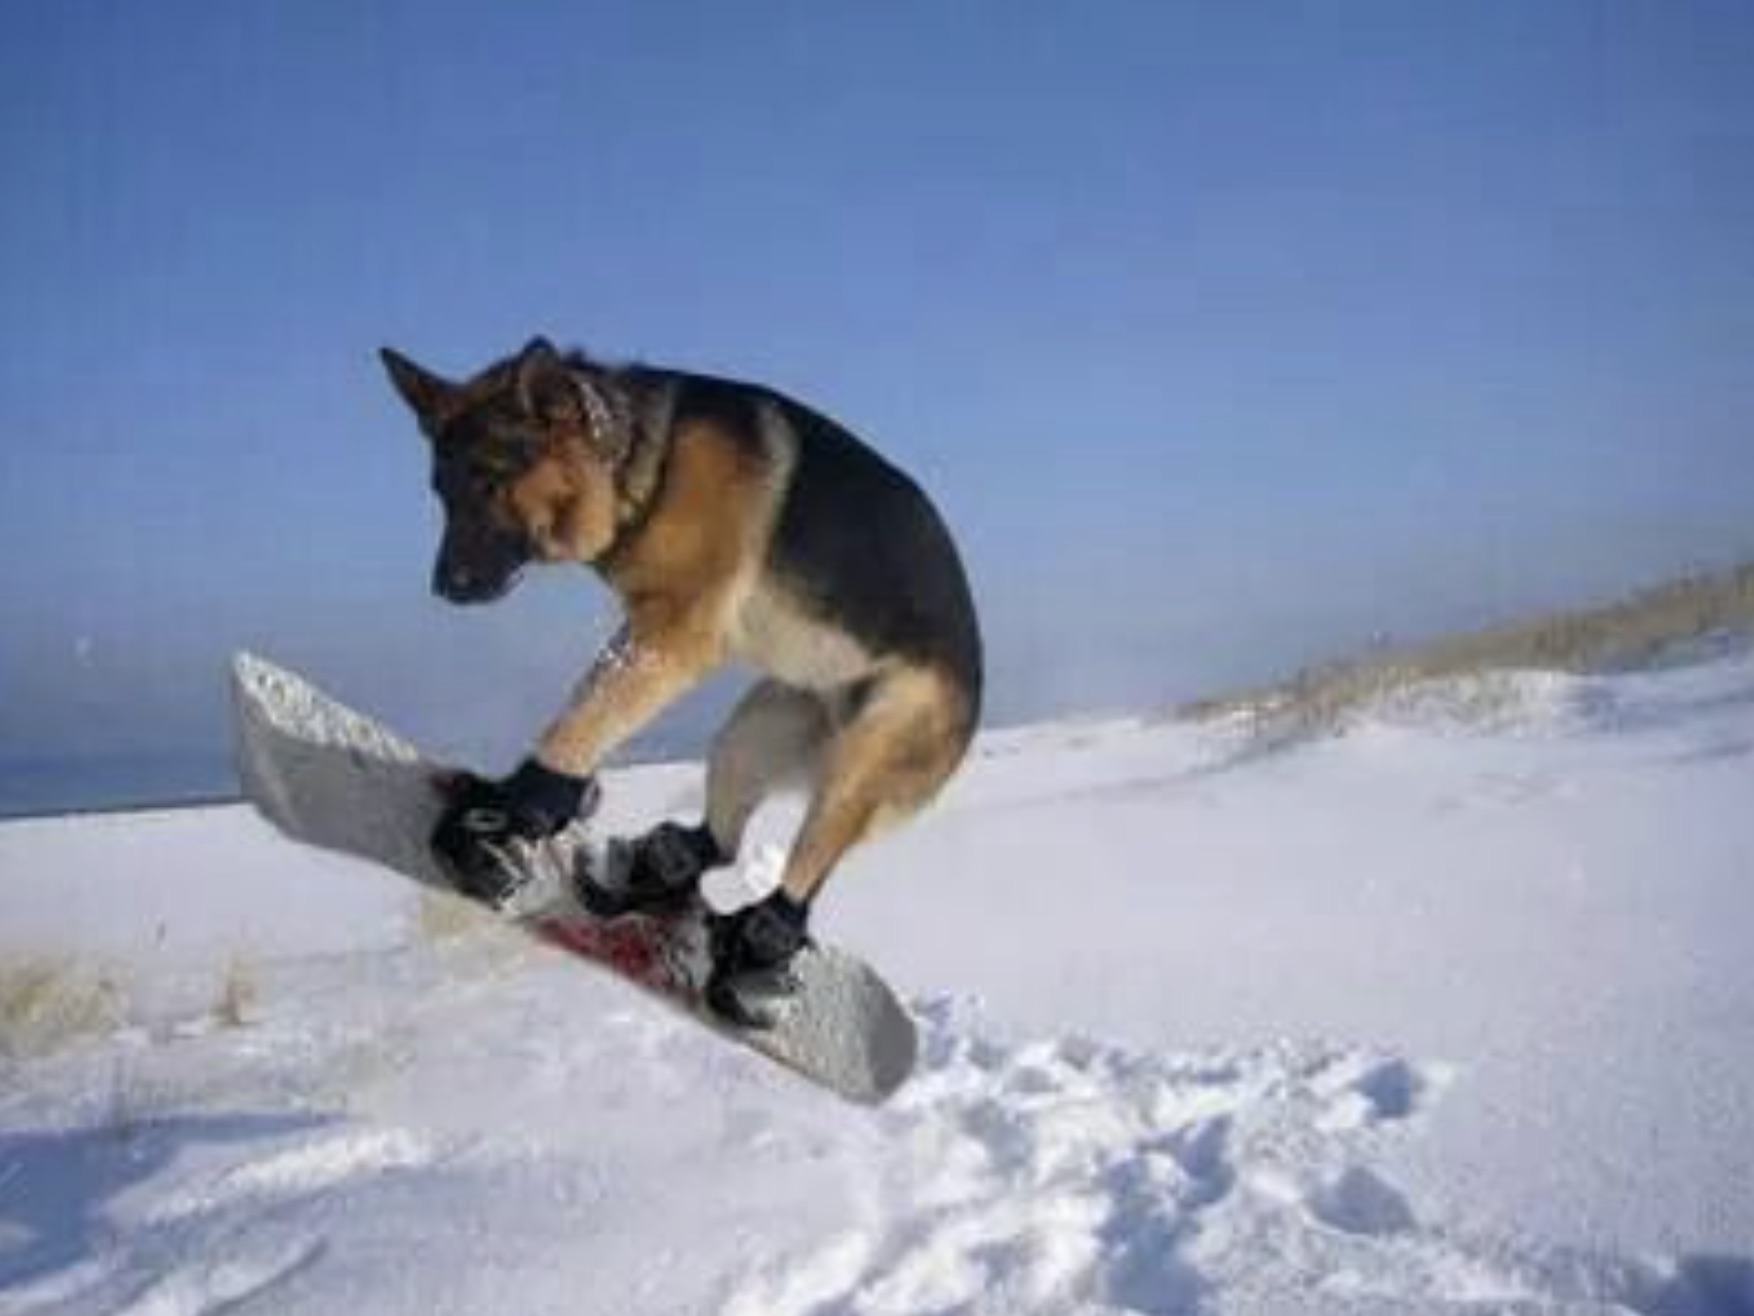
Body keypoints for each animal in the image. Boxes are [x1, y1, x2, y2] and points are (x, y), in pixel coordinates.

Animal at [382, 340, 982, 1031]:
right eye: (441, 492)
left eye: (489, 480)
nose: (444, 588)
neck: (640, 465)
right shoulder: (651, 636)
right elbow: (596, 711)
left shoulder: (674, 637)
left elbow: (586, 718)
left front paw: (514, 811)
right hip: (757, 731)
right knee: (718, 842)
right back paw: (656, 871)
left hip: (862, 760)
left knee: (800, 882)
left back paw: (757, 956)